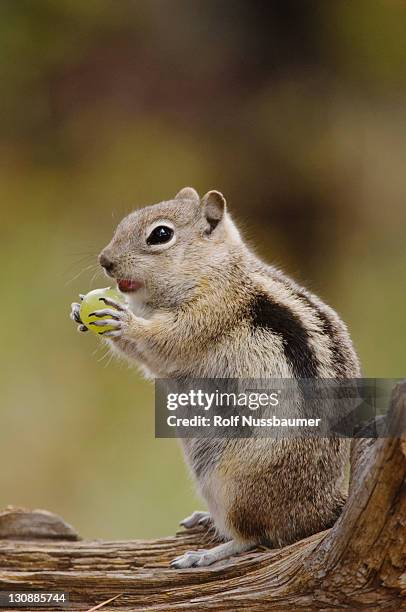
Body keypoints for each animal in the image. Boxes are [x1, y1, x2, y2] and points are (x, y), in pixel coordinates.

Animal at [70, 188, 362, 568]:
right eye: (124, 223)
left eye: (160, 235)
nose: (105, 261)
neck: (216, 269)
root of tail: (320, 509)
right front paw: (79, 311)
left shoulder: (210, 311)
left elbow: (165, 341)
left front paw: (125, 321)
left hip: (233, 482)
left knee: (255, 536)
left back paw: (205, 555)